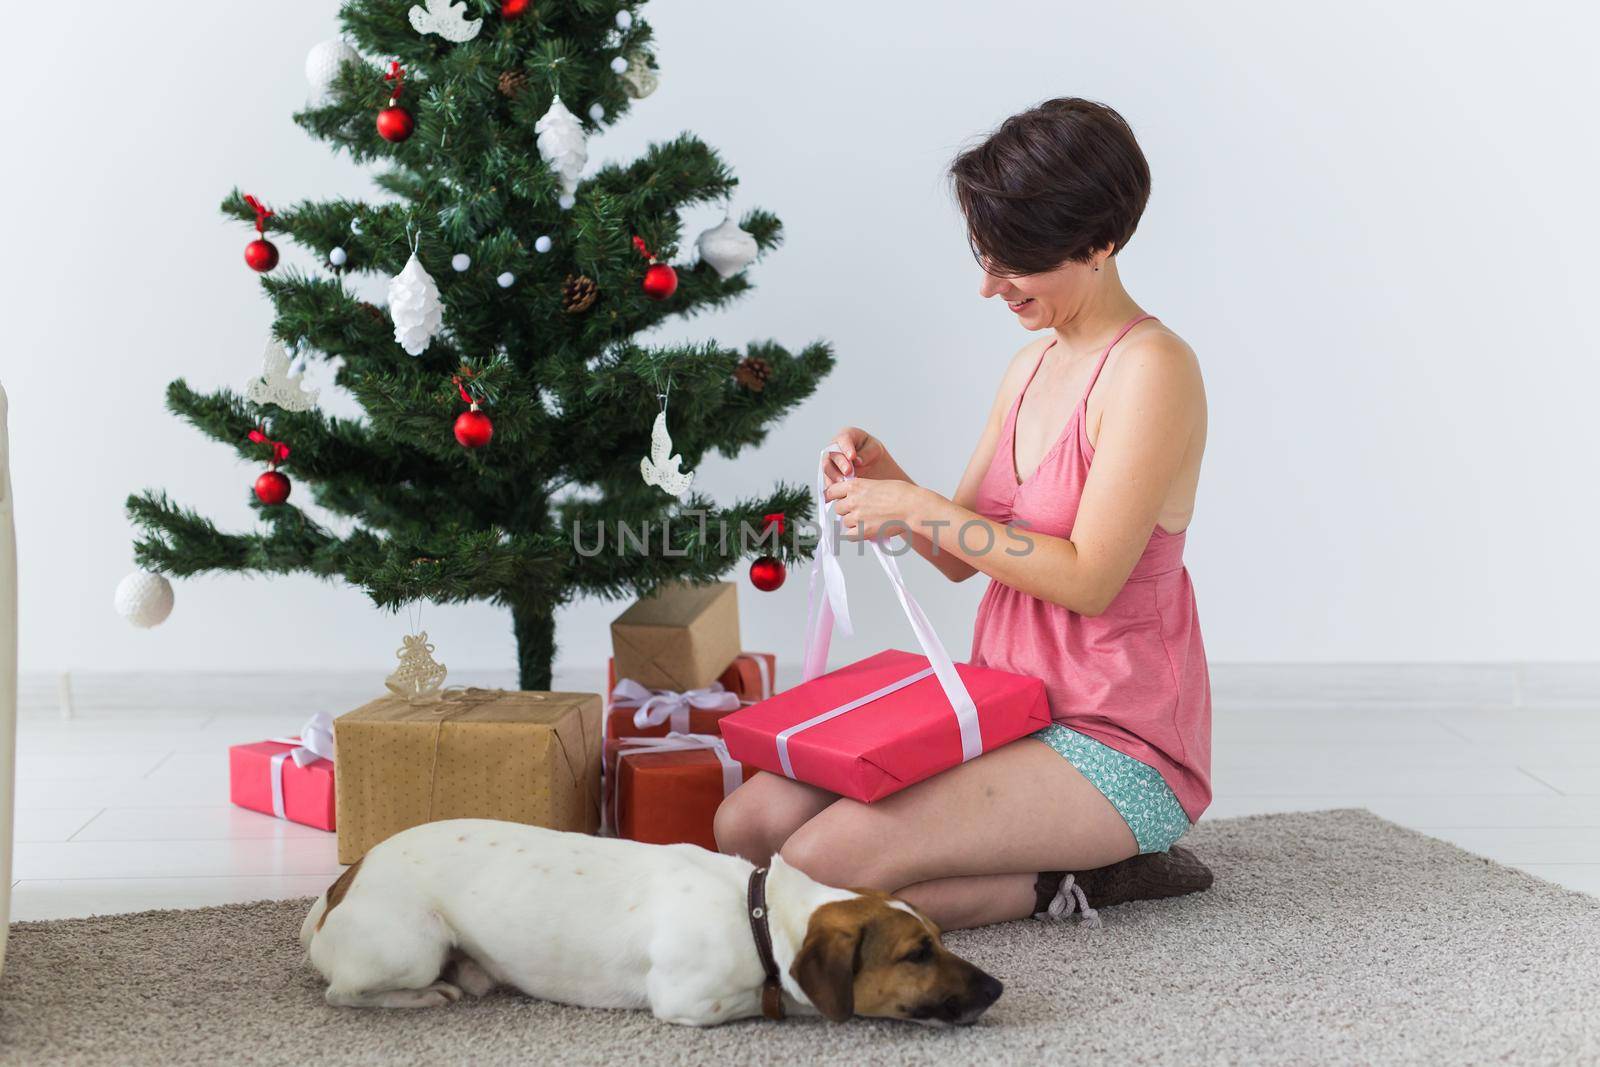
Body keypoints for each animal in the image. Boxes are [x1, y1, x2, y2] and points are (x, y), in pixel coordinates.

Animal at [299, 819, 998, 1023]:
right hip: (411, 949)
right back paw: (421, 996)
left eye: (939, 940)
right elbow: (766, 1000)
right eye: (917, 954)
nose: (997, 988)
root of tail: (340, 885)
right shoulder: (689, 1001)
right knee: (344, 994)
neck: (759, 914)